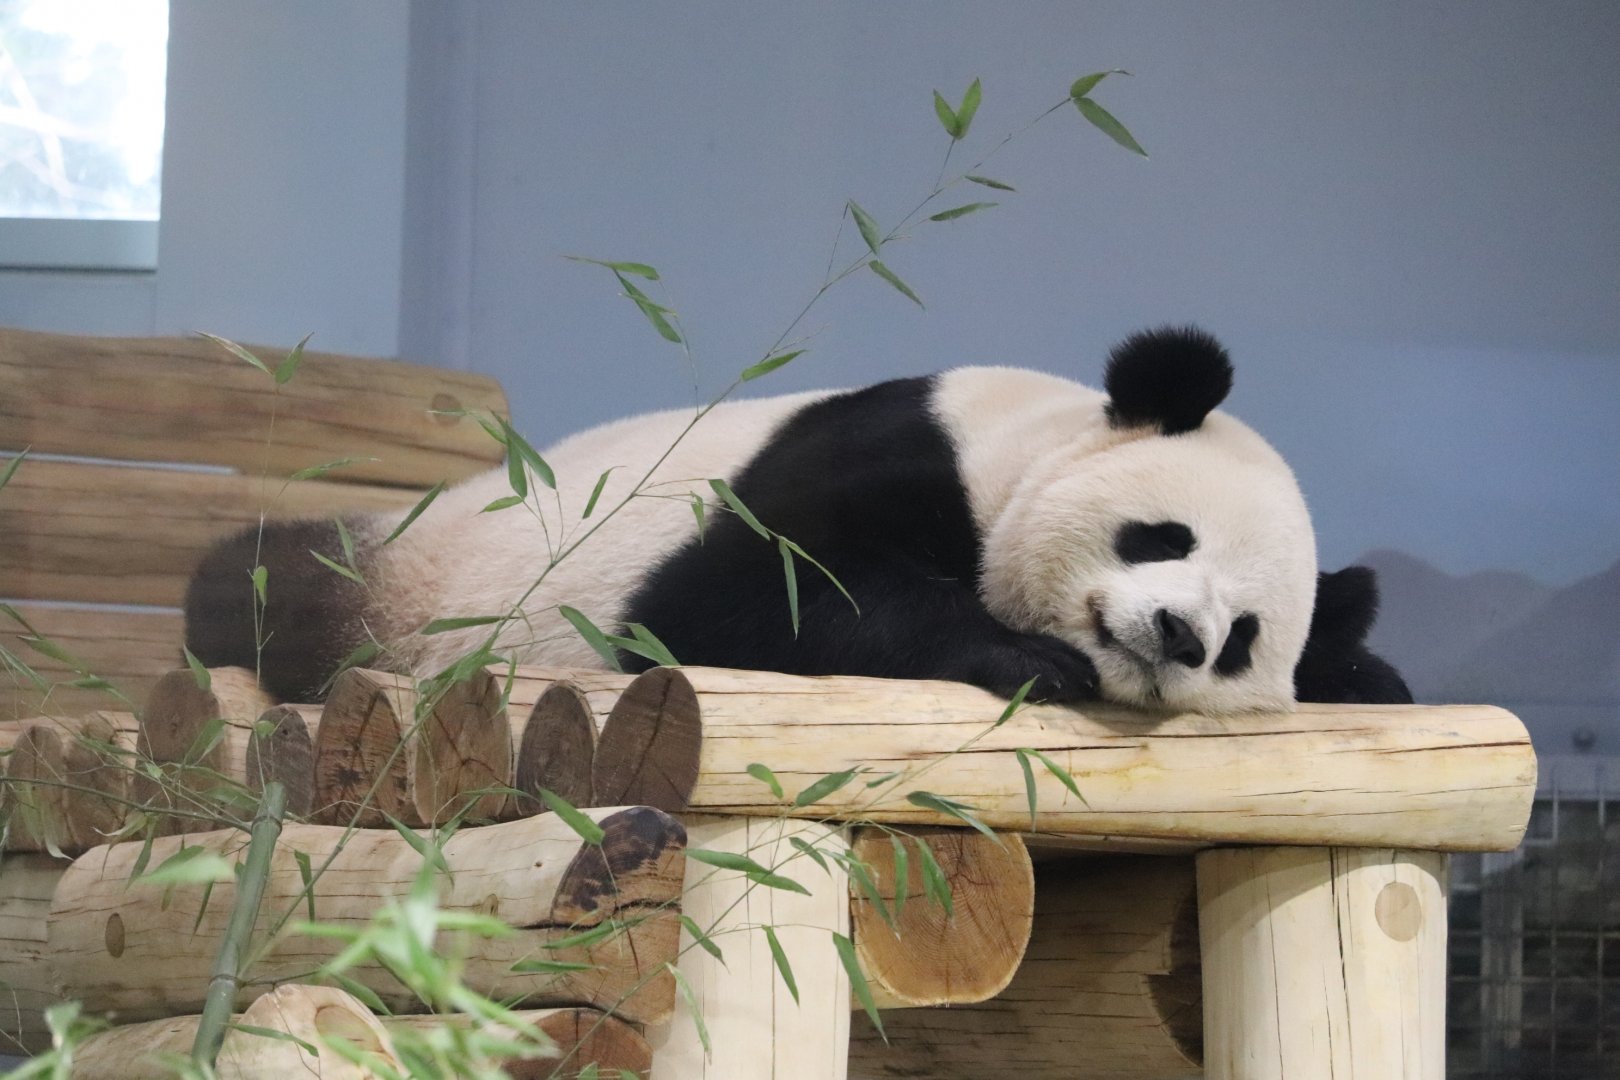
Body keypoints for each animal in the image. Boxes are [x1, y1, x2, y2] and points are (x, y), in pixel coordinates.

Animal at [185, 326, 1410, 712]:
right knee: (255, 583)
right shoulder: (898, 452)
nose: (1179, 635)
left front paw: (1366, 674)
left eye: (1244, 636)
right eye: (1161, 537)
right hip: (413, 569)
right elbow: (732, 600)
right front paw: (1025, 657)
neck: (1018, 449)